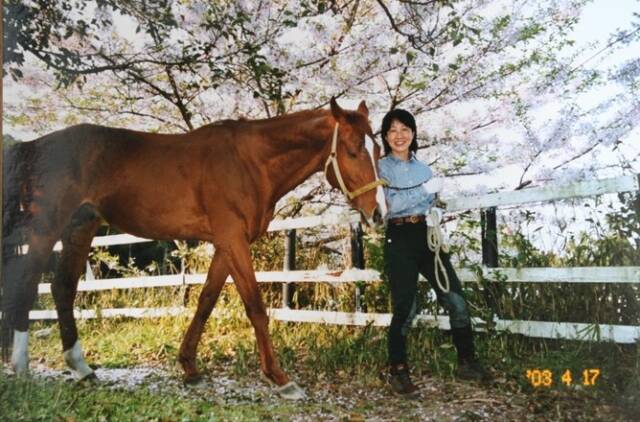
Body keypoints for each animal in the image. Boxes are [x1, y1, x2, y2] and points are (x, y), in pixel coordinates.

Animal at [1, 98, 387, 399]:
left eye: (376, 149)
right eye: (353, 151)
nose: (377, 214)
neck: (250, 161)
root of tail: (33, 146)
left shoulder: (227, 243)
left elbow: (205, 302)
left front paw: (189, 368)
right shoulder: (232, 239)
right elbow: (255, 307)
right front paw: (280, 379)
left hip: (81, 226)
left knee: (62, 288)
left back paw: (81, 367)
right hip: (46, 227)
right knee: (26, 285)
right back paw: (21, 367)